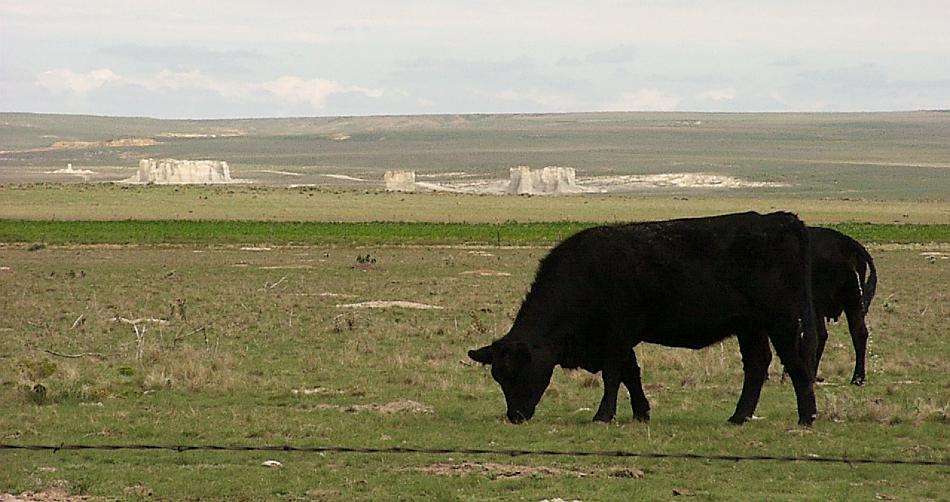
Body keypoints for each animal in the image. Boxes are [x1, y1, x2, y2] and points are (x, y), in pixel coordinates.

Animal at [468, 210, 820, 426]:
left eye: (518, 371)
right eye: (498, 376)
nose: (515, 415)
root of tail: (780, 219)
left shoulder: (616, 335)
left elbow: (613, 375)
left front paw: (603, 415)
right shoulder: (621, 339)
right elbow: (631, 374)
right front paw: (641, 413)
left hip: (782, 322)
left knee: (795, 363)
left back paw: (807, 417)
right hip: (750, 326)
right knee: (757, 365)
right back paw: (739, 417)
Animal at [812, 226, 876, 384]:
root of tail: (846, 242)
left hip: (819, 305)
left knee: (821, 334)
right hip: (853, 303)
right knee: (859, 333)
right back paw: (858, 378)